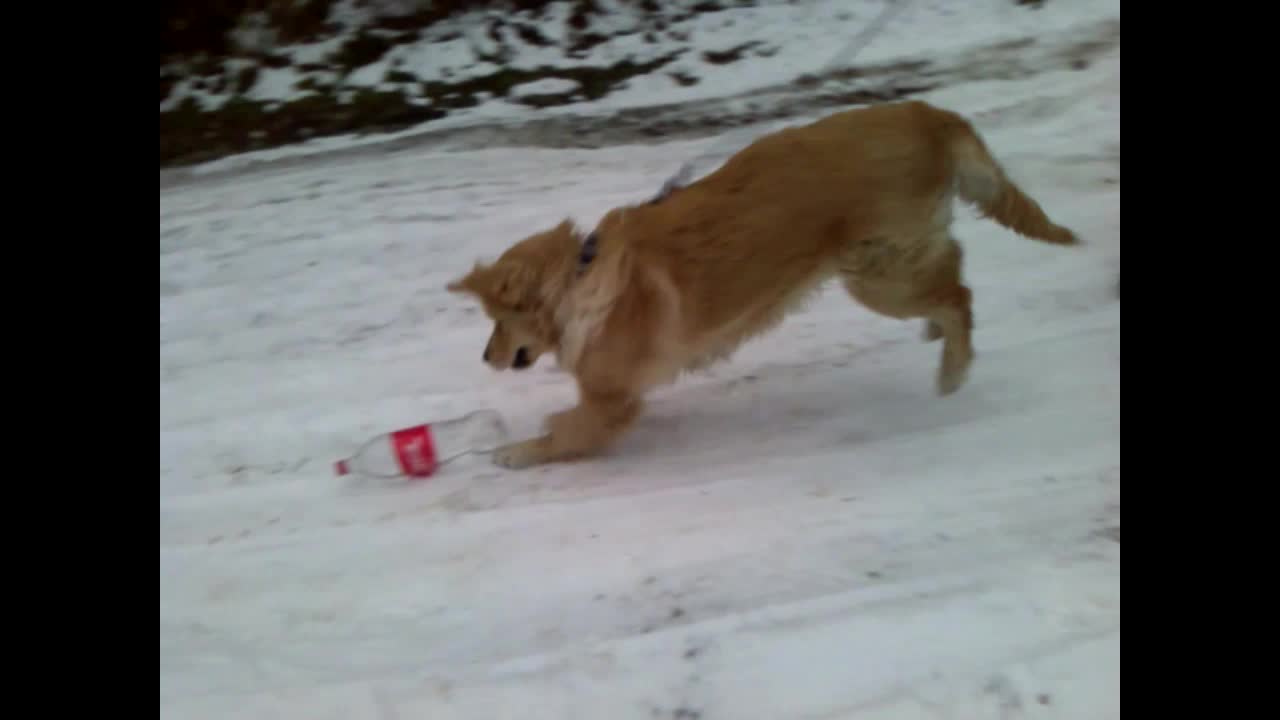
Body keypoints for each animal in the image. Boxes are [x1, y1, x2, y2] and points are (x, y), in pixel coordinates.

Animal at [445, 102, 1075, 471]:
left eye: (496, 323)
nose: (483, 356)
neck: (578, 278)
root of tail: (928, 113)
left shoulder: (612, 400)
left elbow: (568, 434)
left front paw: (518, 450)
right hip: (884, 268)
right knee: (951, 273)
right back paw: (937, 337)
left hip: (878, 276)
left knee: (958, 294)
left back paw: (953, 368)